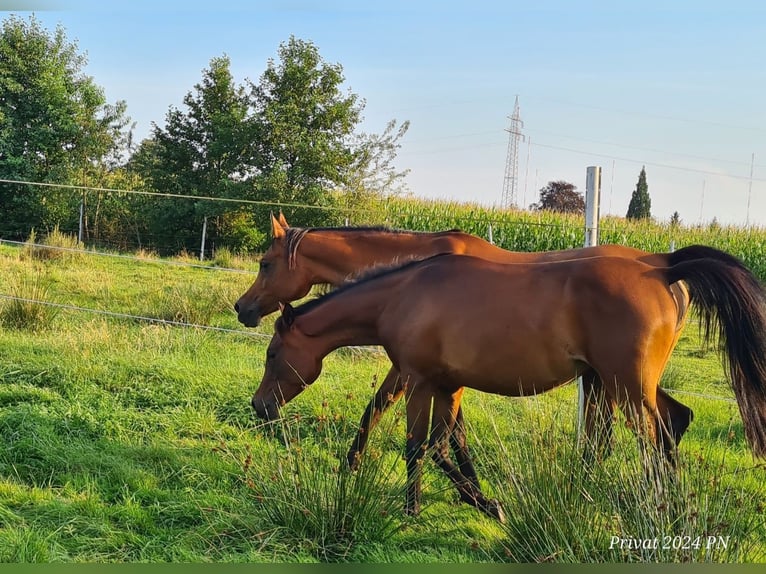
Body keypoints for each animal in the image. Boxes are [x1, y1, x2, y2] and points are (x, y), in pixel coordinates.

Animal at [252, 250, 766, 524]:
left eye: (272, 355)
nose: (260, 408)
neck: (405, 294)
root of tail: (663, 266)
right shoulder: (448, 386)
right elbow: (447, 445)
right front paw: (483, 502)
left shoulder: (420, 382)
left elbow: (418, 446)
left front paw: (413, 508)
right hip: (621, 384)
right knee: (669, 424)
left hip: (626, 387)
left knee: (655, 437)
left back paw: (660, 507)